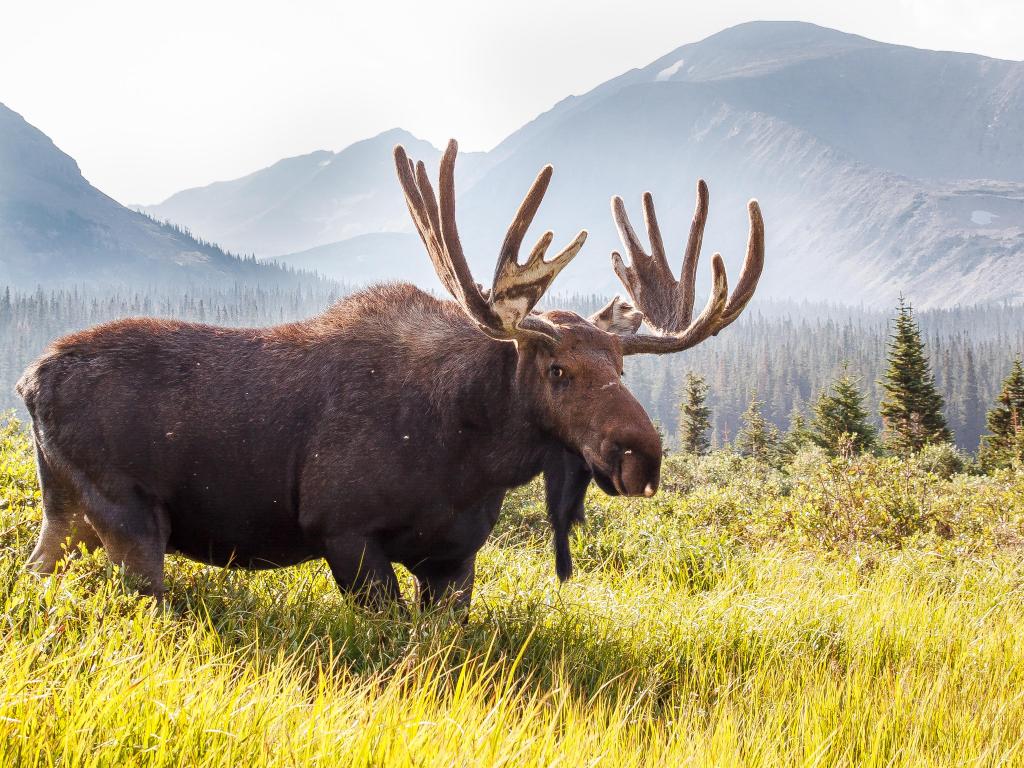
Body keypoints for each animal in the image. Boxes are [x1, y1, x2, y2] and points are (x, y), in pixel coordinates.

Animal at [16, 138, 765, 606]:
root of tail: (28, 382)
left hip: (67, 514)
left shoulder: (453, 558)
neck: (473, 456)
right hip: (128, 515)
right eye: (556, 370)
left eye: (621, 369)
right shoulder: (343, 531)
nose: (643, 455)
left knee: (32, 575)